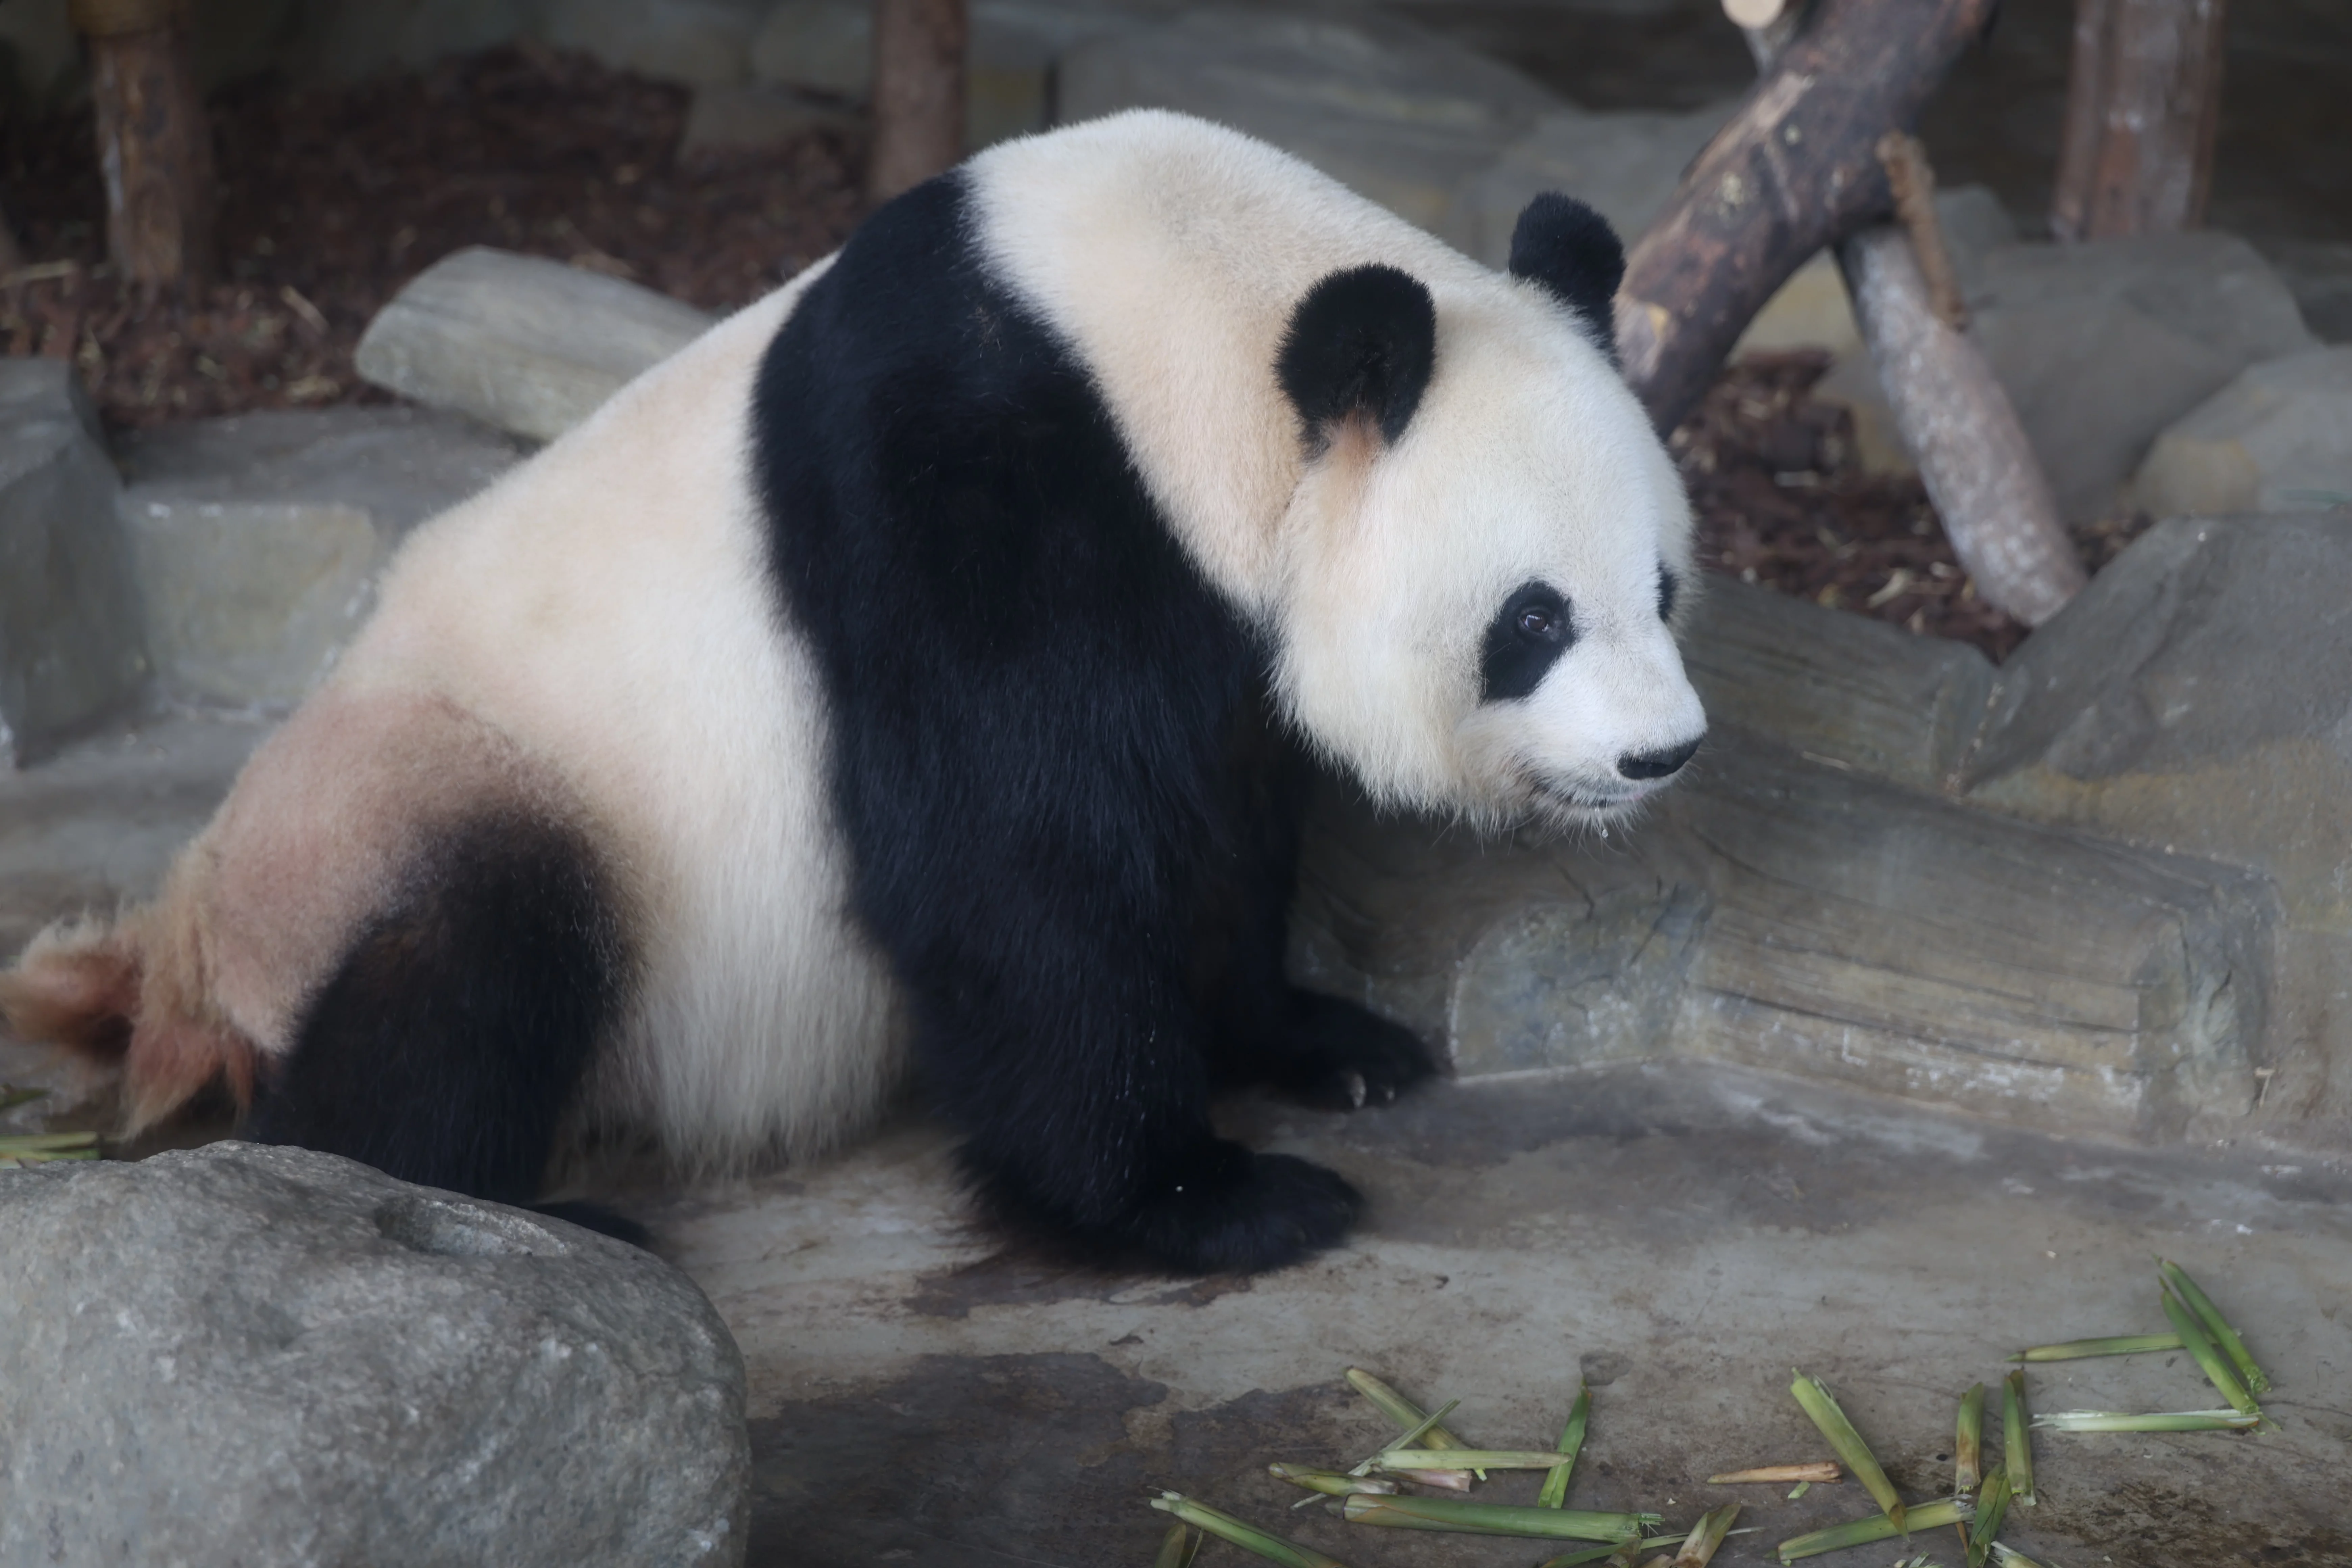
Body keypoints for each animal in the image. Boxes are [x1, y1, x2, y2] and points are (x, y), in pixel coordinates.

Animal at [0, 111, 1705, 1274]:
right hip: (440, 792)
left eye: (1665, 585)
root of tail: (194, 936)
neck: (1183, 323)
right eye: (1531, 620)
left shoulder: (1192, 601)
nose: (1664, 754)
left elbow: (1215, 824)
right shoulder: (973, 483)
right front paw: (1202, 1195)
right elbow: (1018, 867)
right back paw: (528, 1215)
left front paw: (1321, 1041)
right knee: (467, 973)